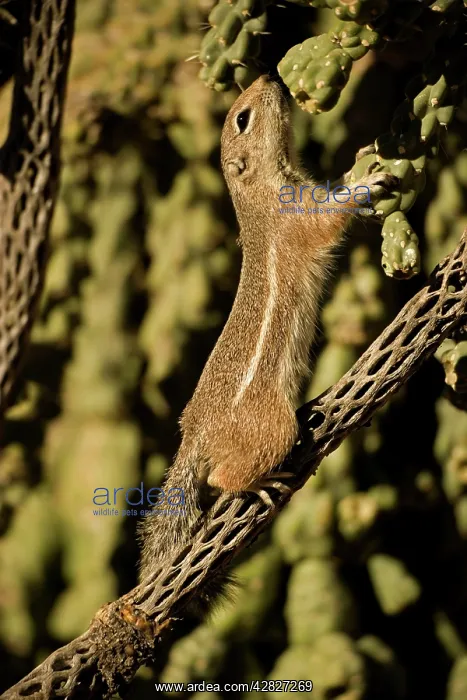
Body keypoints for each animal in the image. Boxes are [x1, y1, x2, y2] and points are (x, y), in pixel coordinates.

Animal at [139, 75, 397, 584]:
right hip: (275, 426)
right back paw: (259, 482)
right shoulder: (299, 218)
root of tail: (195, 436)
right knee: (220, 478)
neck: (260, 197)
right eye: (243, 118)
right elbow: (330, 219)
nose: (270, 77)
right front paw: (365, 182)